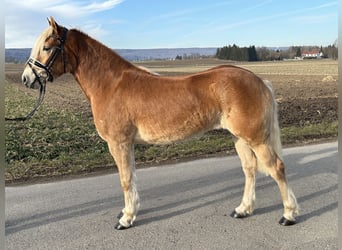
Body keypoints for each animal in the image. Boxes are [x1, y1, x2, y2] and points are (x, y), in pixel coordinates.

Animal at [22, 16, 300, 229]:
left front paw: (126, 219)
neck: (110, 84)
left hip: (255, 138)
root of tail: (258, 80)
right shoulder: (127, 145)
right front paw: (130, 211)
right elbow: (131, 177)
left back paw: (288, 214)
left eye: (47, 47)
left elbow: (125, 179)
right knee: (250, 169)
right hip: (240, 138)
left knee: (277, 168)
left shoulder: (118, 143)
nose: (26, 79)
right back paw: (243, 209)